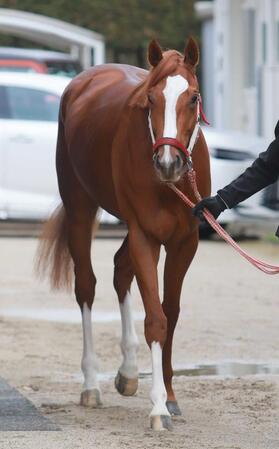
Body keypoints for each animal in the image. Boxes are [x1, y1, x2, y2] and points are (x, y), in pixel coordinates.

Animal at [37, 37, 212, 430]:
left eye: (193, 97)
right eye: (151, 99)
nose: (168, 163)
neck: (169, 186)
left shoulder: (185, 242)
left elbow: (170, 312)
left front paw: (171, 396)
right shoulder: (145, 235)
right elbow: (156, 319)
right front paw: (159, 407)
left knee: (120, 271)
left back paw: (129, 372)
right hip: (81, 210)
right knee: (86, 286)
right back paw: (91, 384)